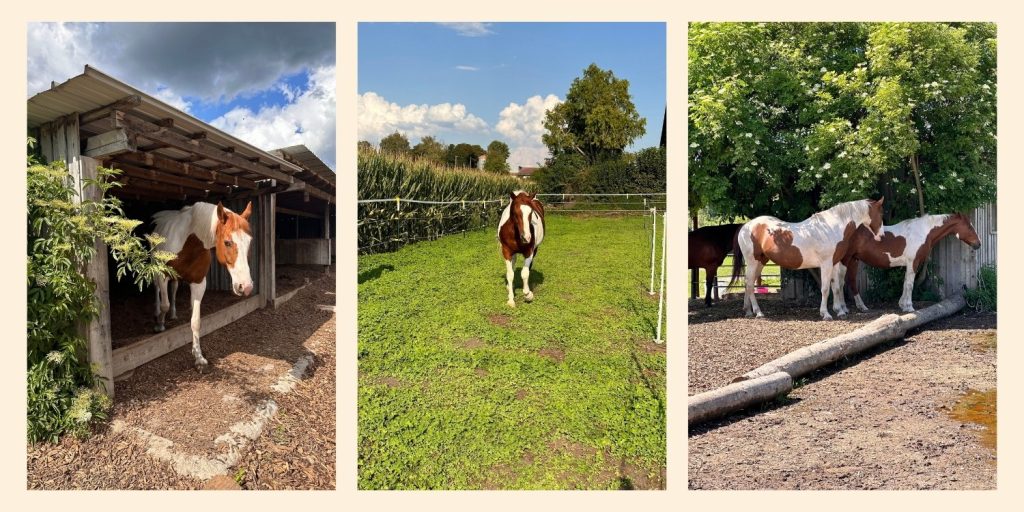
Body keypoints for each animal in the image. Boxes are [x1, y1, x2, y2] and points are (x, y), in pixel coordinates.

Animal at [152, 201, 255, 372]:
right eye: (227, 242)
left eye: (249, 242)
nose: (245, 287)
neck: (188, 242)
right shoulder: (162, 275)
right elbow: (164, 304)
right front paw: (159, 324)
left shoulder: (199, 283)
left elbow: (196, 321)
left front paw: (198, 357)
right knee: (157, 290)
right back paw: (157, 311)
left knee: (174, 290)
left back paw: (173, 314)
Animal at [730, 198, 885, 320]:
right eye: (880, 214)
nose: (882, 236)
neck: (831, 228)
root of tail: (746, 226)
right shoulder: (826, 264)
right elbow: (825, 289)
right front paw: (826, 314)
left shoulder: (834, 264)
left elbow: (835, 287)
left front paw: (840, 311)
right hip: (752, 262)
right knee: (750, 285)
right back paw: (758, 312)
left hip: (760, 262)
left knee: (748, 284)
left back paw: (748, 311)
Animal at [836, 213, 982, 314]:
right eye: (969, 226)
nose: (978, 244)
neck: (923, 232)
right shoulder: (913, 262)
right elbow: (910, 284)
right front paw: (909, 307)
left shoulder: (910, 264)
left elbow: (905, 283)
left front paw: (902, 304)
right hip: (845, 260)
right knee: (839, 282)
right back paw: (841, 309)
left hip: (854, 260)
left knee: (850, 281)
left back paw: (860, 307)